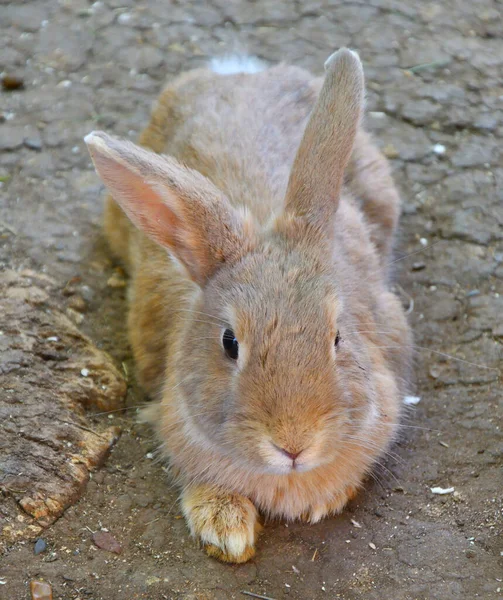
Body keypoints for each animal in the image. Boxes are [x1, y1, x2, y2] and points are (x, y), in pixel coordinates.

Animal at [83, 48, 414, 564]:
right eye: (229, 343)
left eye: (338, 337)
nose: (294, 445)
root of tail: (237, 71)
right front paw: (226, 528)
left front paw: (321, 501)